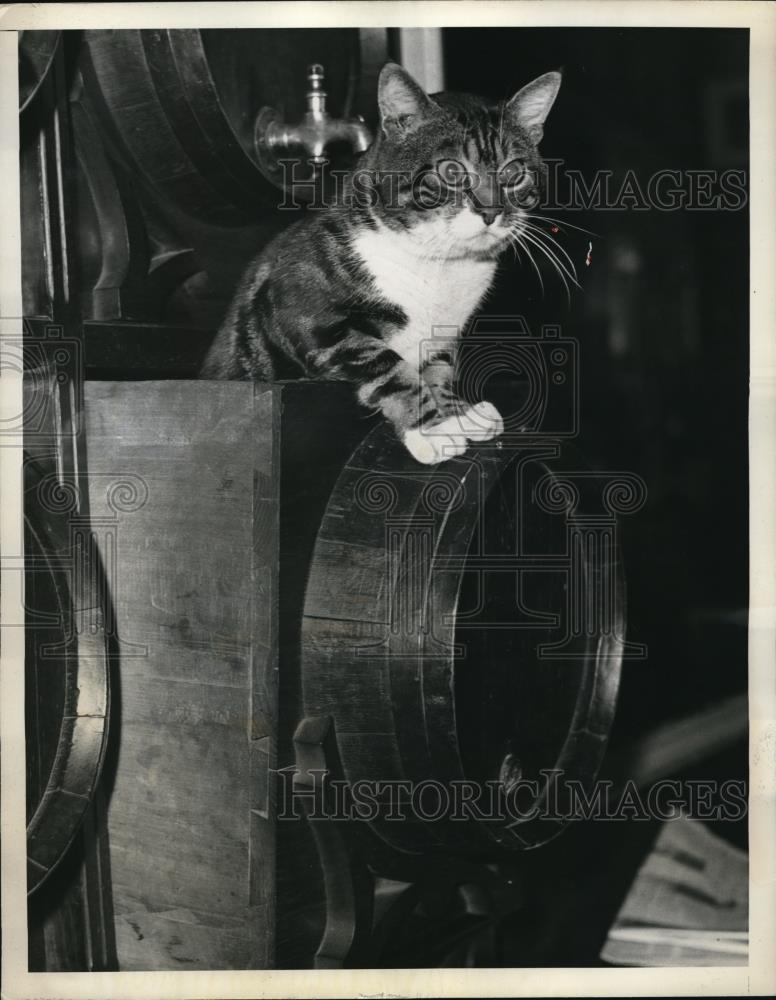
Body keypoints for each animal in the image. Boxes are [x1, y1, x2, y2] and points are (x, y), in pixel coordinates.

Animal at [202, 64, 556, 462]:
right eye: (451, 171)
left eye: (514, 173)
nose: (492, 211)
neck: (440, 263)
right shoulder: (303, 310)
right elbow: (387, 364)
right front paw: (431, 428)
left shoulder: (443, 332)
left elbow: (439, 366)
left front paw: (457, 414)